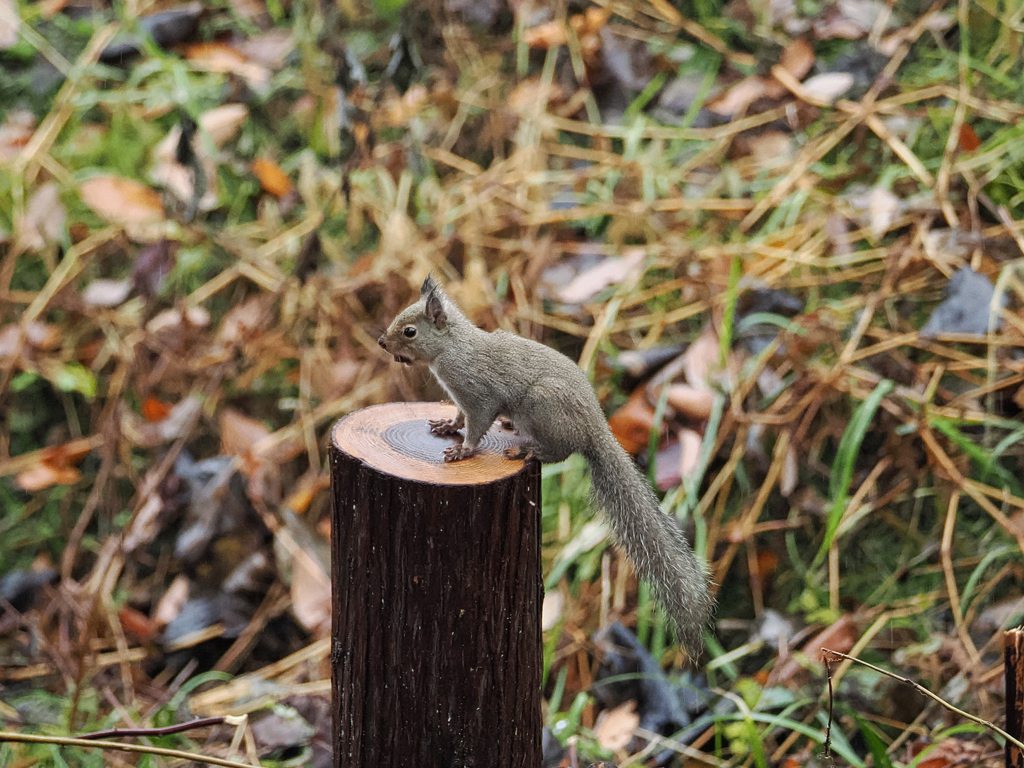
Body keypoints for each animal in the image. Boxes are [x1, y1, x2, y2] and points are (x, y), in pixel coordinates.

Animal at [376, 280, 712, 659]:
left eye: (410, 331)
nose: (382, 342)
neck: (453, 347)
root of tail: (594, 428)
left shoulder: (479, 396)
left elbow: (476, 426)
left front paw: (463, 451)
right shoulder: (461, 399)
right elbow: (460, 418)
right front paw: (448, 426)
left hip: (542, 406)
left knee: (557, 453)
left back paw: (525, 447)